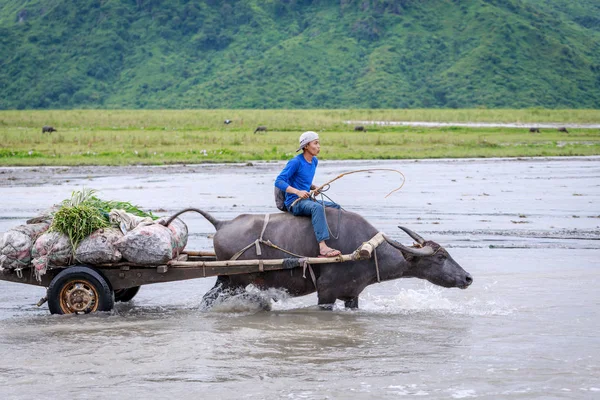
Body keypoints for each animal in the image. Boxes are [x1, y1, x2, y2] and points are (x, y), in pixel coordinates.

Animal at [164, 208, 474, 310]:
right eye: (441, 256)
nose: (468, 277)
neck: (367, 251)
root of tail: (222, 224)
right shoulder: (326, 294)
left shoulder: (352, 295)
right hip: (235, 280)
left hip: (226, 279)